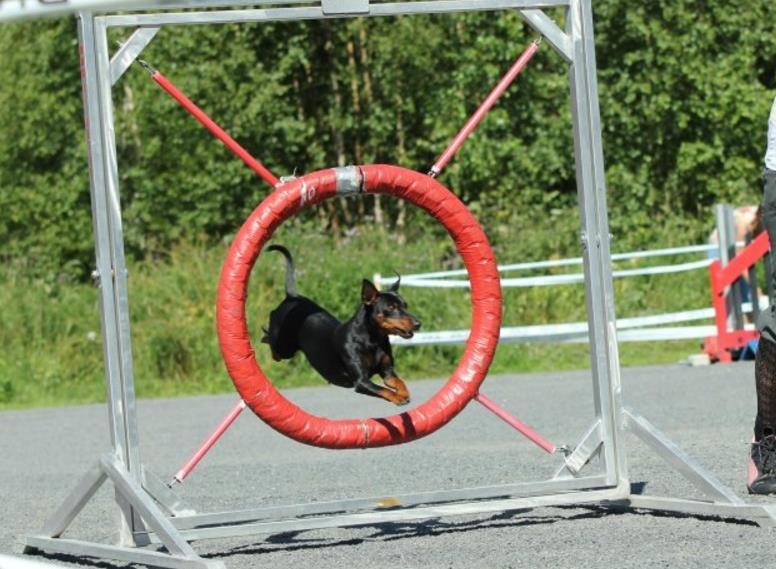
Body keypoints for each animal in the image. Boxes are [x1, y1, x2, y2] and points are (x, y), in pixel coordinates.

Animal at [260, 244, 422, 404]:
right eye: (391, 308)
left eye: (405, 305)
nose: (418, 324)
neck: (373, 340)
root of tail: (292, 296)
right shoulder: (361, 381)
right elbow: (383, 390)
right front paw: (398, 397)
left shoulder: (387, 373)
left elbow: (399, 382)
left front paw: (403, 393)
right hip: (284, 346)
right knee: (272, 333)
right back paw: (265, 333)